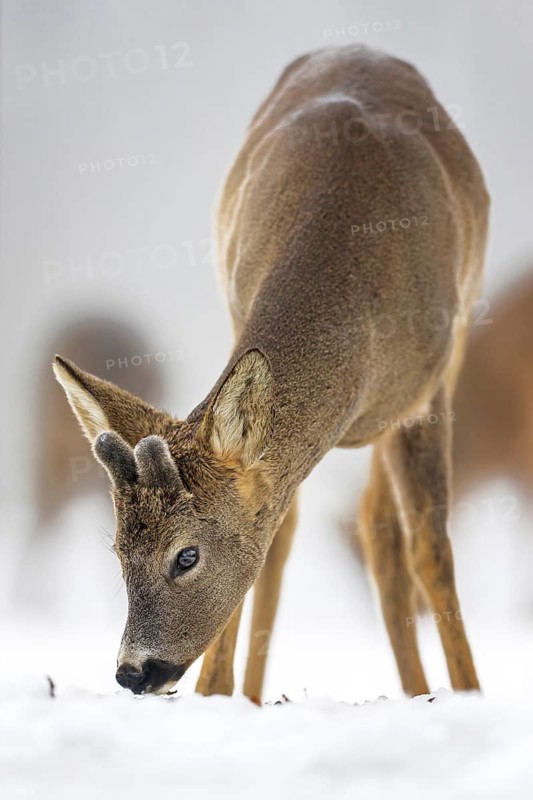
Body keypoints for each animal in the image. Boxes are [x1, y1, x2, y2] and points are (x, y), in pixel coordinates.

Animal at [54, 45, 489, 700]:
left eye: (186, 555)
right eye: (118, 550)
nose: (132, 672)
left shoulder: (428, 391)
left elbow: (433, 549)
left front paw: (470, 693)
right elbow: (274, 539)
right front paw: (216, 695)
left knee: (384, 529)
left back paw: (426, 691)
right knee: (310, 531)